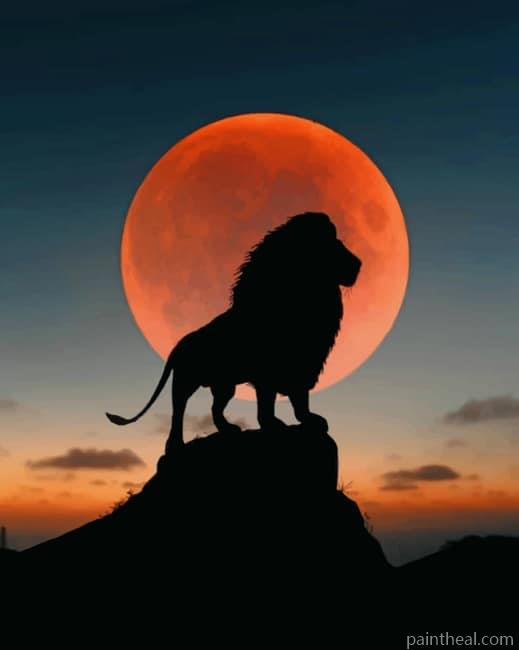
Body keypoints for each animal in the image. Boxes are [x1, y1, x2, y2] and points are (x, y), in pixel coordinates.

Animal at [106, 212, 361, 453]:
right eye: (330, 244)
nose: (358, 264)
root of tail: (178, 345)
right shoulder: (268, 373)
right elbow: (267, 404)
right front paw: (273, 424)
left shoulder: (304, 366)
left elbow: (300, 401)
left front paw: (309, 420)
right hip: (185, 381)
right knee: (178, 411)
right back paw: (175, 444)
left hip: (224, 385)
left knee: (215, 409)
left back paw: (228, 429)